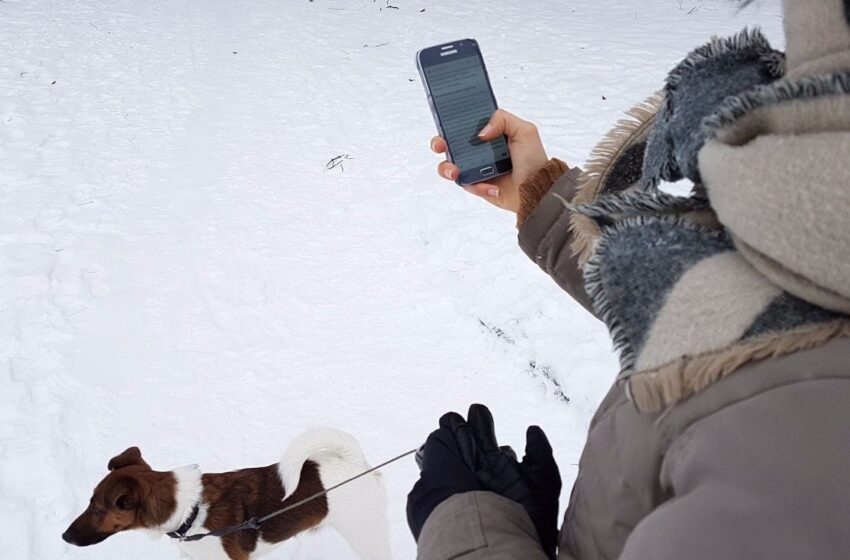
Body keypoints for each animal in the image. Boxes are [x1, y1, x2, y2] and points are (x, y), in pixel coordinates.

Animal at [62, 426, 390, 556]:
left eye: (97, 508)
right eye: (90, 503)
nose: (64, 536)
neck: (190, 513)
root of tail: (352, 460)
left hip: (367, 537)